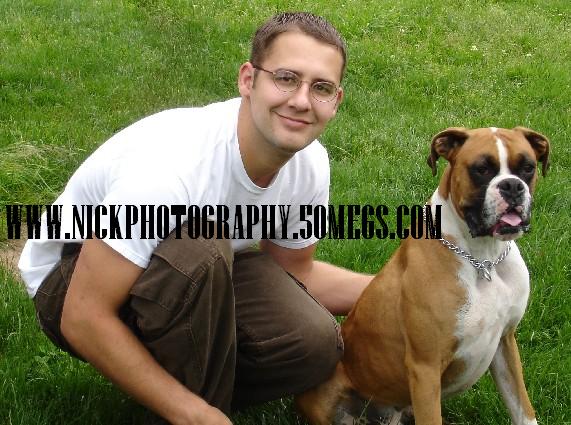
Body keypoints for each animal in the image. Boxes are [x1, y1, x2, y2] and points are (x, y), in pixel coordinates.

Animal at [296, 127, 550, 425]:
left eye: (528, 167)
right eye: (482, 169)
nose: (512, 186)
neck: (484, 260)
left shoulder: (505, 342)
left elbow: (522, 409)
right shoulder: (425, 368)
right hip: (325, 399)